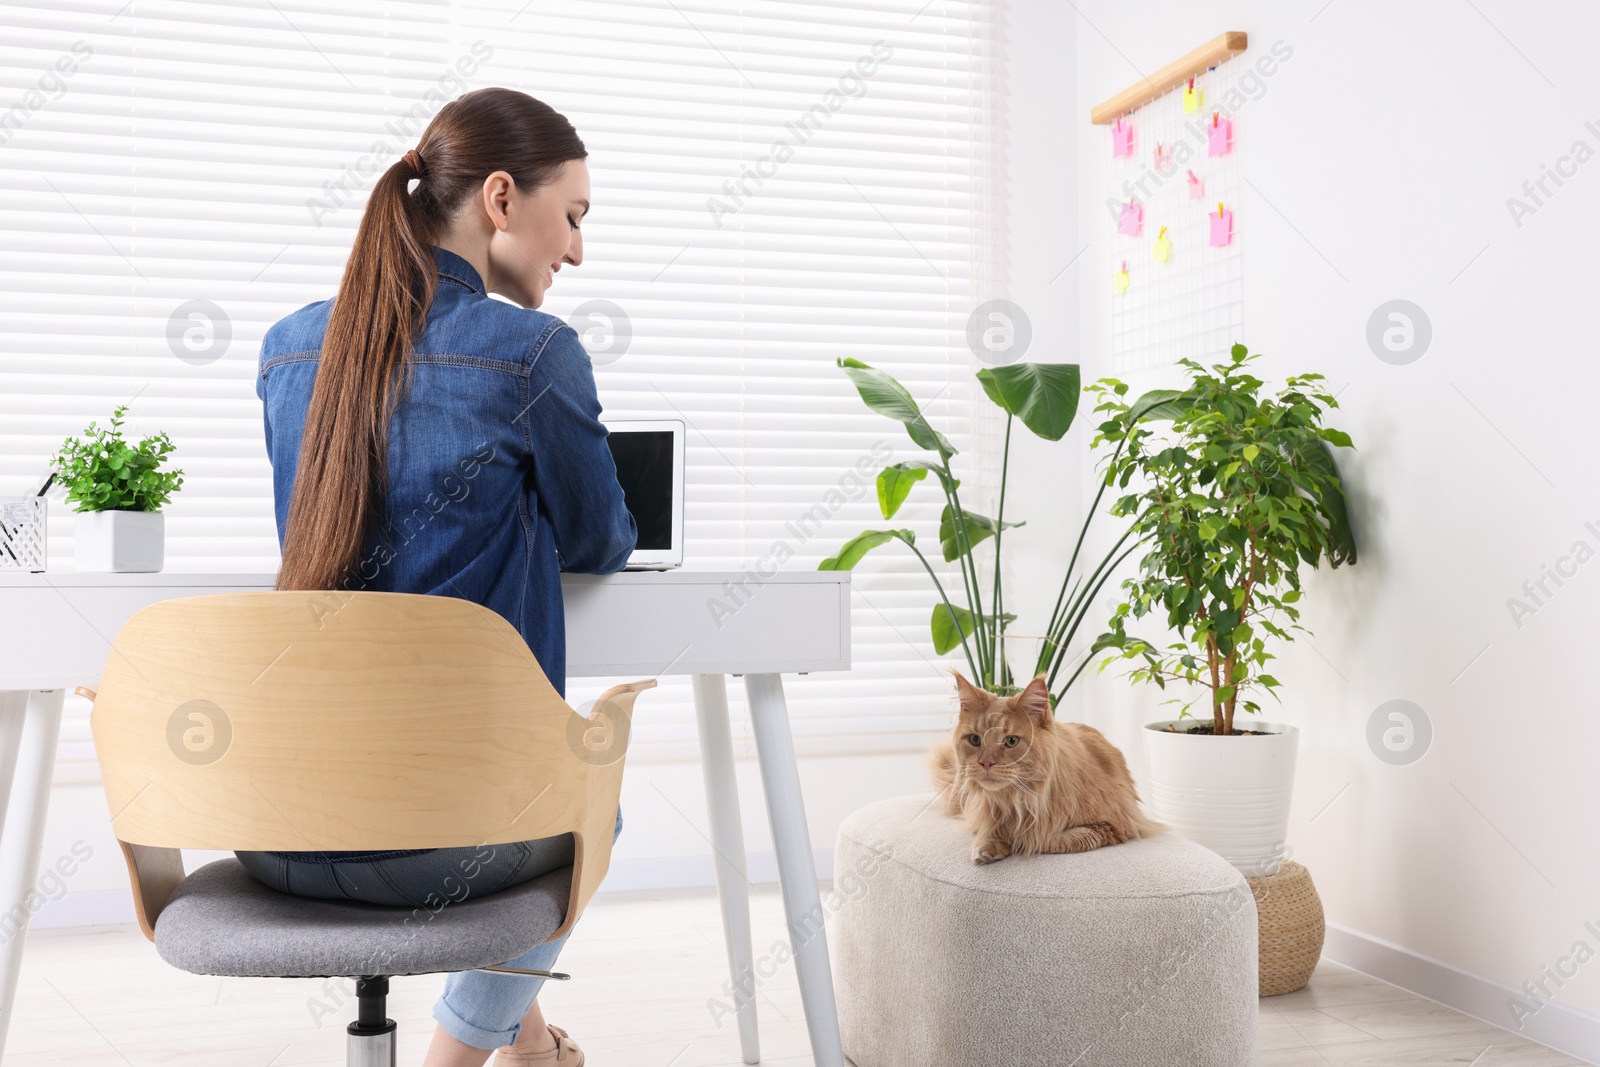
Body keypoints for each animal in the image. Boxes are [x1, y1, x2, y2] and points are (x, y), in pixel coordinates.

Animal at [928, 671, 1164, 863]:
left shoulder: (1116, 823)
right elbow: (987, 832)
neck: (1021, 799)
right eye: (975, 740)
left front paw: (1025, 841)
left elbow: (1049, 840)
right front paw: (988, 847)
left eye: (1011, 741)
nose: (985, 762)